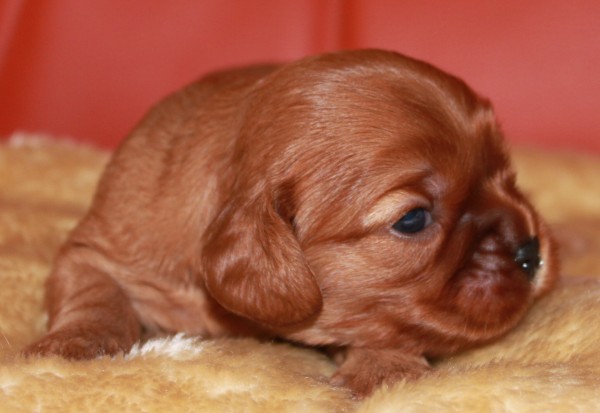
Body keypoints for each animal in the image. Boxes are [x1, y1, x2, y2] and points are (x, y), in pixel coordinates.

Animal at [24, 49, 558, 397]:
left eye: (506, 174)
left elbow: (383, 327)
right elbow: (94, 295)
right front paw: (74, 345)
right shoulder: (94, 249)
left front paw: (386, 369)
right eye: (413, 219)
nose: (532, 251)